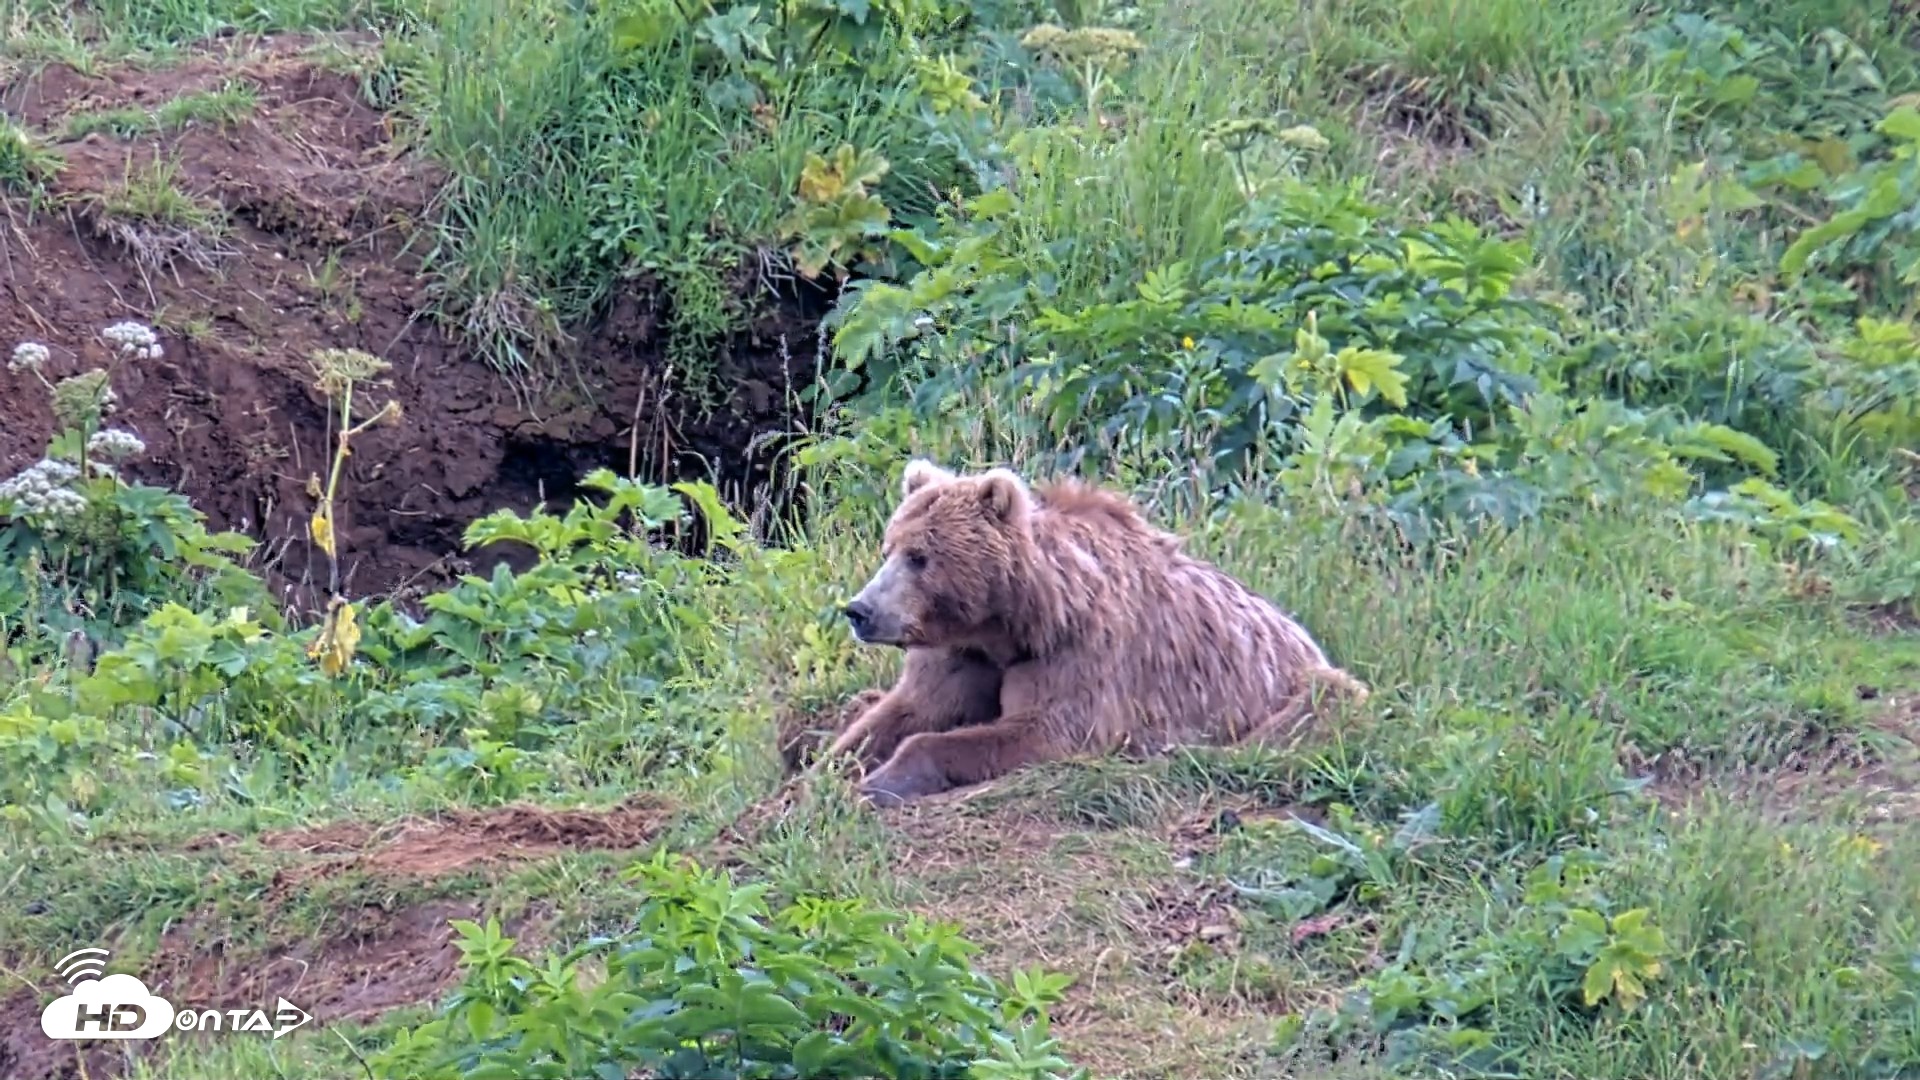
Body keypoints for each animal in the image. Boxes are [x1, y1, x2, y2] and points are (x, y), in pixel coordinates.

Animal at [824, 457, 1369, 806]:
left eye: (920, 556)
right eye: (888, 548)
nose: (860, 610)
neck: (1010, 623)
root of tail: (1303, 634)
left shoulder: (1081, 651)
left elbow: (1045, 730)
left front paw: (885, 780)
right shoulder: (961, 654)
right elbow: (904, 712)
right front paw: (827, 773)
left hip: (1301, 684)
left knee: (1320, 704)